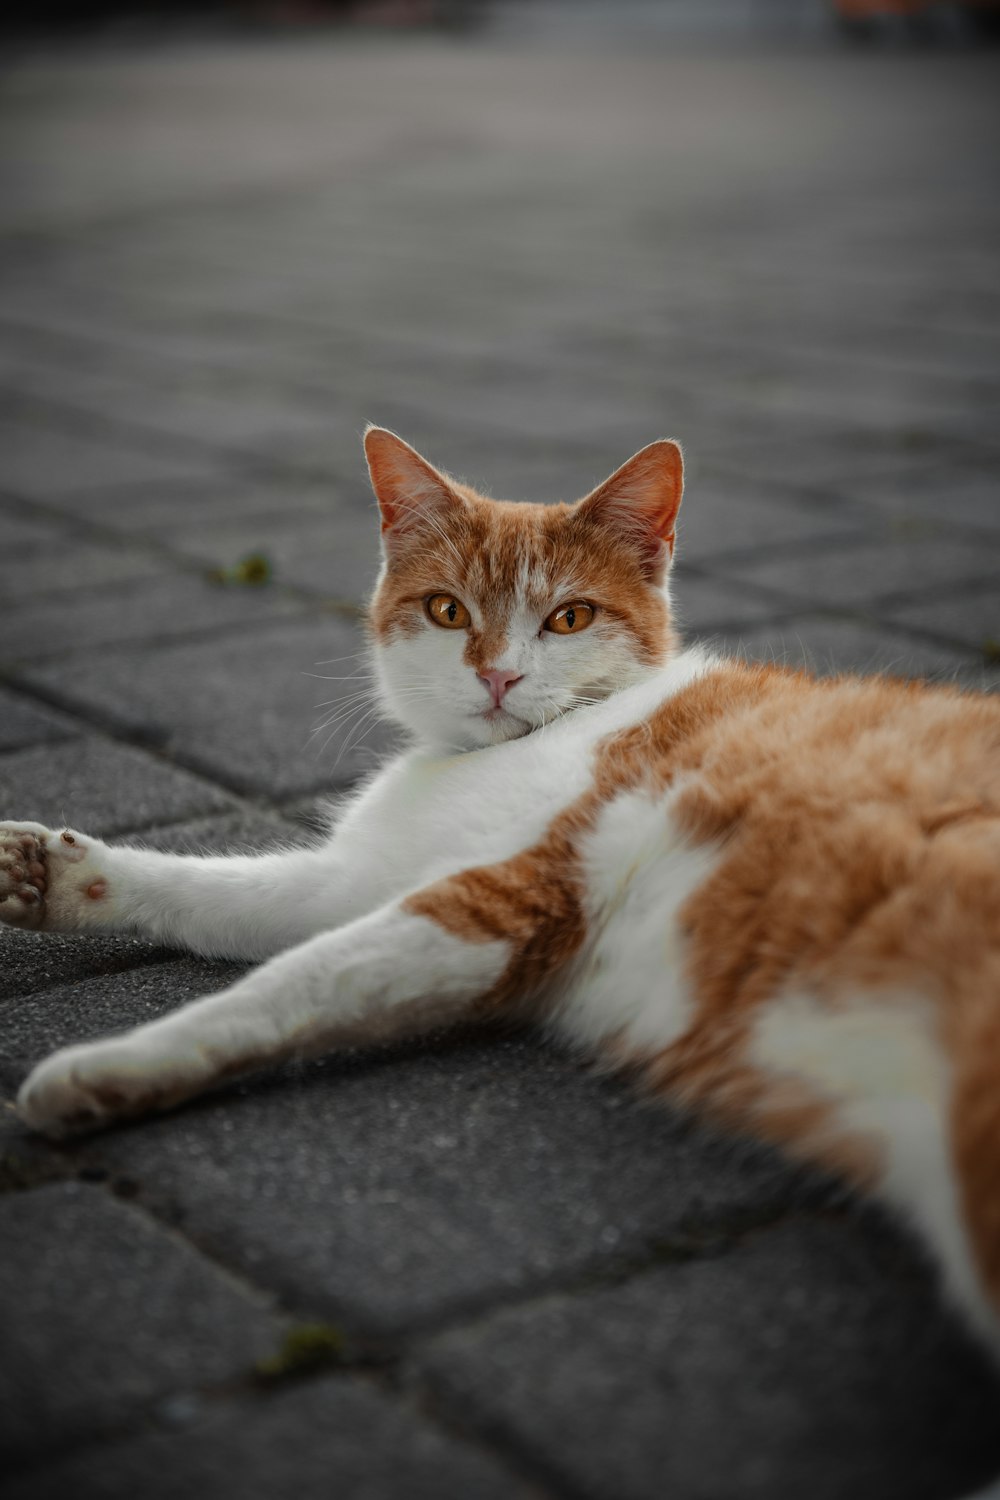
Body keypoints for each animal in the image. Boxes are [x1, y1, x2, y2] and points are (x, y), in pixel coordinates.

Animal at [1, 429, 1000, 1356]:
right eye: (448, 611)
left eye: (570, 617)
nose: (497, 675)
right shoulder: (360, 878)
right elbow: (222, 896)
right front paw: (52, 876)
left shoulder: (506, 901)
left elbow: (293, 980)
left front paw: (109, 1067)